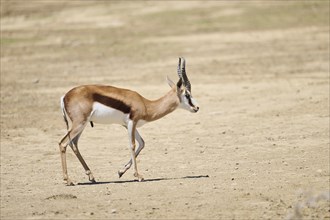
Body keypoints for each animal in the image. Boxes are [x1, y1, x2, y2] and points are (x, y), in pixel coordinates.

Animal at [58, 57, 199, 186]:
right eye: (187, 94)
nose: (196, 108)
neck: (146, 104)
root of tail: (65, 96)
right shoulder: (132, 122)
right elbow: (132, 145)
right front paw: (138, 176)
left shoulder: (127, 125)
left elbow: (142, 143)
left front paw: (121, 171)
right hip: (79, 124)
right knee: (63, 143)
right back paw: (68, 180)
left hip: (83, 124)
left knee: (74, 144)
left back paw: (91, 176)